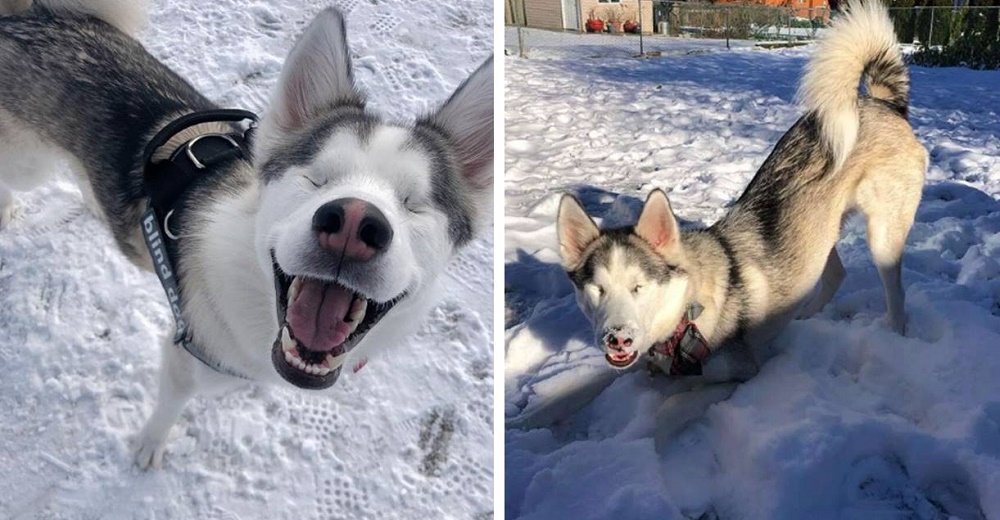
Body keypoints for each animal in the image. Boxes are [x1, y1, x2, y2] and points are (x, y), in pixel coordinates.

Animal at [0, 0, 494, 470]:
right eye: (314, 179)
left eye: (414, 204)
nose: (354, 223)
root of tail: (31, 18)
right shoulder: (185, 357)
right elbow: (167, 410)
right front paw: (149, 445)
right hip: (28, 165)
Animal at [556, 0, 920, 382]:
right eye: (597, 289)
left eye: (638, 287)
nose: (617, 339)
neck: (689, 308)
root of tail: (881, 104)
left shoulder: (737, 372)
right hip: (819, 232)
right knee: (835, 274)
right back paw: (805, 316)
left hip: (883, 237)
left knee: (895, 293)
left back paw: (896, 336)